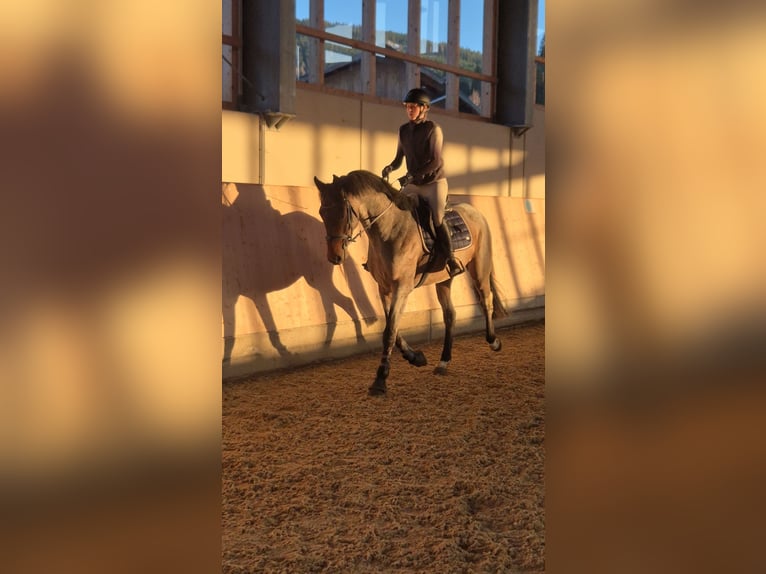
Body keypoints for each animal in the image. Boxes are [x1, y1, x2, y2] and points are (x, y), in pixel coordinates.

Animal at [314, 169, 506, 395]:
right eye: (322, 212)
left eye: (343, 213)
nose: (334, 257)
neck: (389, 229)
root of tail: (474, 211)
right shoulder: (384, 289)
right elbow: (392, 328)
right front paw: (415, 357)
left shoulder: (402, 288)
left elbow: (389, 331)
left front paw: (380, 379)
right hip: (444, 279)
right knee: (450, 315)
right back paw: (443, 362)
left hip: (480, 268)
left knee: (486, 300)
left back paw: (493, 341)